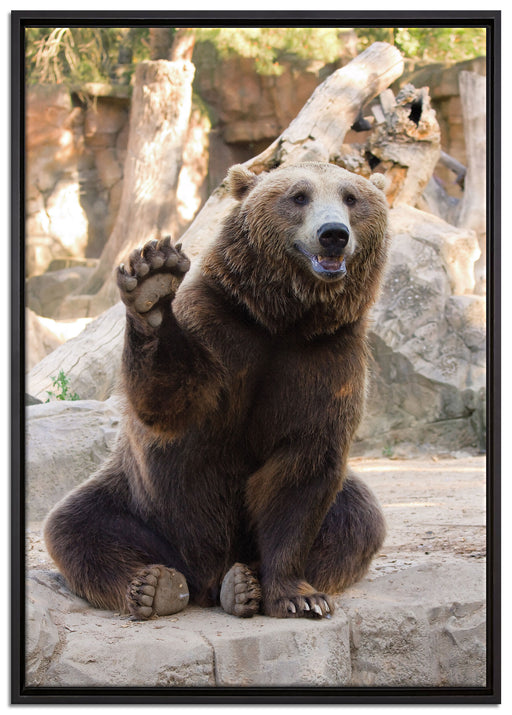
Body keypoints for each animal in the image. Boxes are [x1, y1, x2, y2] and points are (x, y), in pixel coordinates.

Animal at [44, 161, 389, 621]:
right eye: (299, 196)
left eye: (352, 197)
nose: (334, 233)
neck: (284, 320)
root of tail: (203, 578)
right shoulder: (220, 327)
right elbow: (170, 401)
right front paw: (153, 283)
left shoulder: (328, 359)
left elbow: (303, 472)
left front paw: (299, 596)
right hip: (140, 503)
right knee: (76, 527)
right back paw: (154, 586)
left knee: (358, 521)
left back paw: (242, 584)